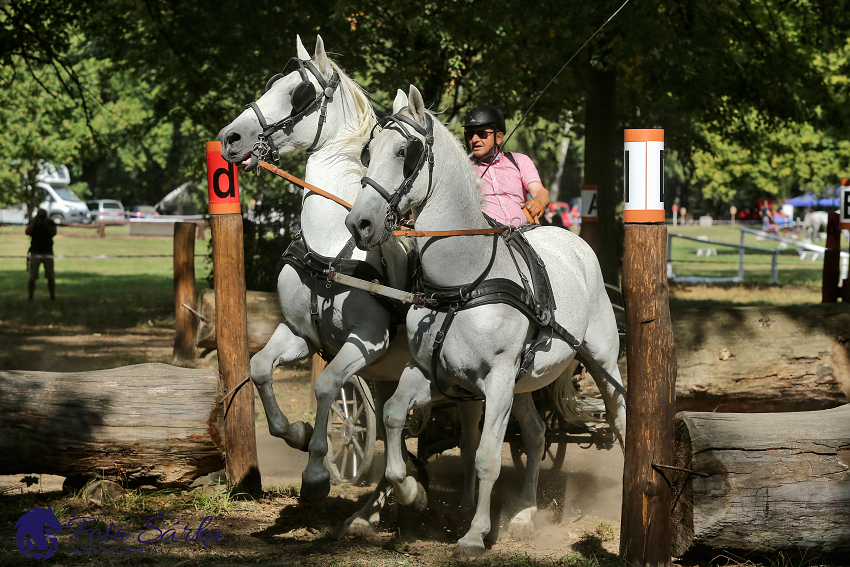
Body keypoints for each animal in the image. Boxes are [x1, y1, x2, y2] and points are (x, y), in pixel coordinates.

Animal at [217, 36, 544, 536]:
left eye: (298, 94)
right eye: (274, 82)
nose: (230, 138)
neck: (332, 246)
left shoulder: (366, 342)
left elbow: (327, 385)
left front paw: (316, 476)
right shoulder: (298, 334)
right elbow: (258, 369)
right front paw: (295, 433)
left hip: (517, 382)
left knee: (532, 432)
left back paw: (523, 511)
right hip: (453, 379)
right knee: (463, 432)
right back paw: (393, 508)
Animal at [342, 86, 628, 556]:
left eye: (405, 151)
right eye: (368, 151)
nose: (358, 222)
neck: (462, 282)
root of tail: (573, 241)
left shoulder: (496, 380)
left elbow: (487, 458)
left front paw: (475, 534)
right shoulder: (431, 371)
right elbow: (394, 417)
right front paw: (414, 496)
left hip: (601, 360)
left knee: (619, 418)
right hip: (526, 382)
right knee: (536, 434)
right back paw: (526, 514)